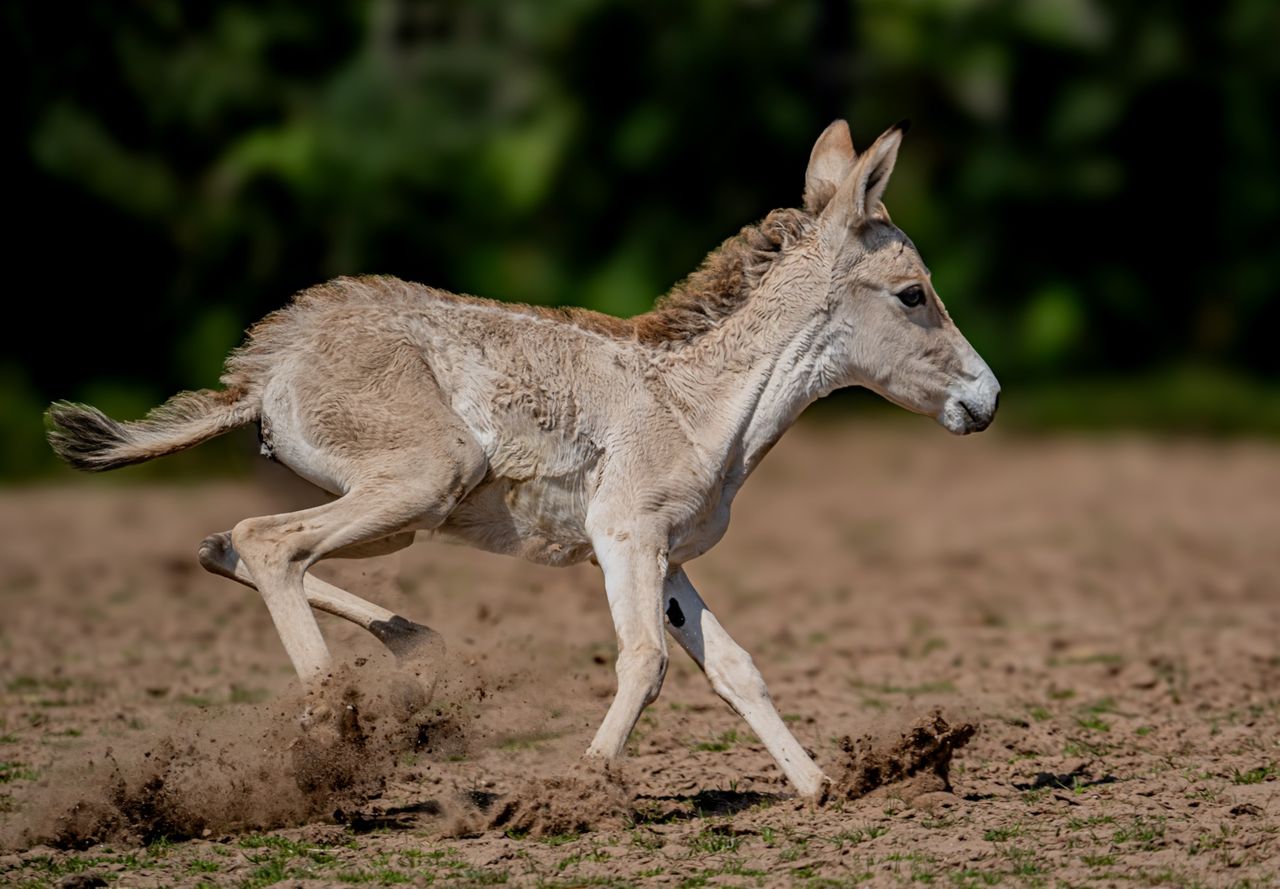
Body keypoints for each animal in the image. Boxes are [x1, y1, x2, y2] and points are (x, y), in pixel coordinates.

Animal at [47, 120, 998, 798]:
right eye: (914, 295)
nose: (987, 398)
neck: (696, 405)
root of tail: (265, 364)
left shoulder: (667, 555)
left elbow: (733, 667)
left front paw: (821, 785)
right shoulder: (625, 537)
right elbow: (646, 660)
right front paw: (579, 790)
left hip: (400, 513)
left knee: (229, 544)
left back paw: (409, 658)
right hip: (423, 483)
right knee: (270, 540)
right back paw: (338, 741)